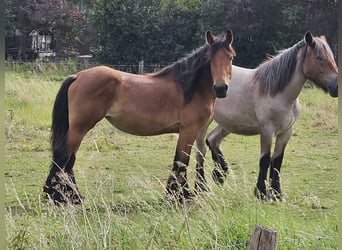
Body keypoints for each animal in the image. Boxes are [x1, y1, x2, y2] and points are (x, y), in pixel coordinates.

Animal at [43, 29, 235, 205]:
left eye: (231, 57)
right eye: (210, 59)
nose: (221, 88)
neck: (190, 88)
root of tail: (78, 76)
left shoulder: (198, 130)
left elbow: (189, 158)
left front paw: (177, 194)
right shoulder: (188, 130)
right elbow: (181, 161)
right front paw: (182, 195)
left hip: (78, 128)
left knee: (69, 158)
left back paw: (73, 196)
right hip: (80, 127)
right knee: (62, 154)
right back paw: (56, 195)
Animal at [194, 31, 338, 201]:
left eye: (331, 57)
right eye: (319, 58)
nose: (336, 86)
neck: (278, 93)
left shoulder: (286, 132)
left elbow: (277, 161)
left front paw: (277, 194)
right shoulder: (267, 131)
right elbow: (265, 160)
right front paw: (261, 193)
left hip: (228, 124)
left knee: (212, 139)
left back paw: (220, 174)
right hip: (206, 122)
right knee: (201, 149)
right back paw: (202, 186)